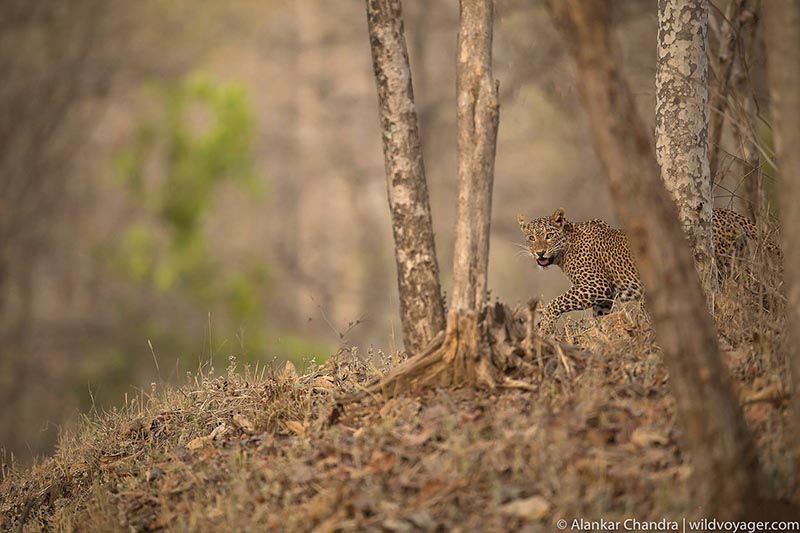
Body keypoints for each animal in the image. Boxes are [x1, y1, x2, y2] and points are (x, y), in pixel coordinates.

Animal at [517, 207, 781, 335]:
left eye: (548, 236)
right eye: (531, 238)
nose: (539, 252)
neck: (565, 251)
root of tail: (730, 214)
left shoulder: (596, 285)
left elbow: (555, 302)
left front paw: (546, 326)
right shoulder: (602, 297)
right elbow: (599, 317)